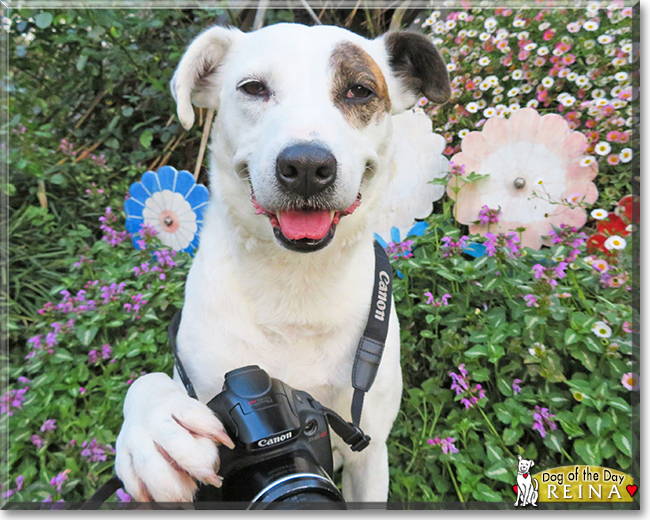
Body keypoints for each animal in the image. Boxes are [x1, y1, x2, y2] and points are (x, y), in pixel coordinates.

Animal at [115, 21, 446, 504]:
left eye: (360, 91)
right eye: (253, 87)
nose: (306, 165)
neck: (296, 283)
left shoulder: (369, 454)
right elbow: (148, 388)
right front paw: (157, 428)